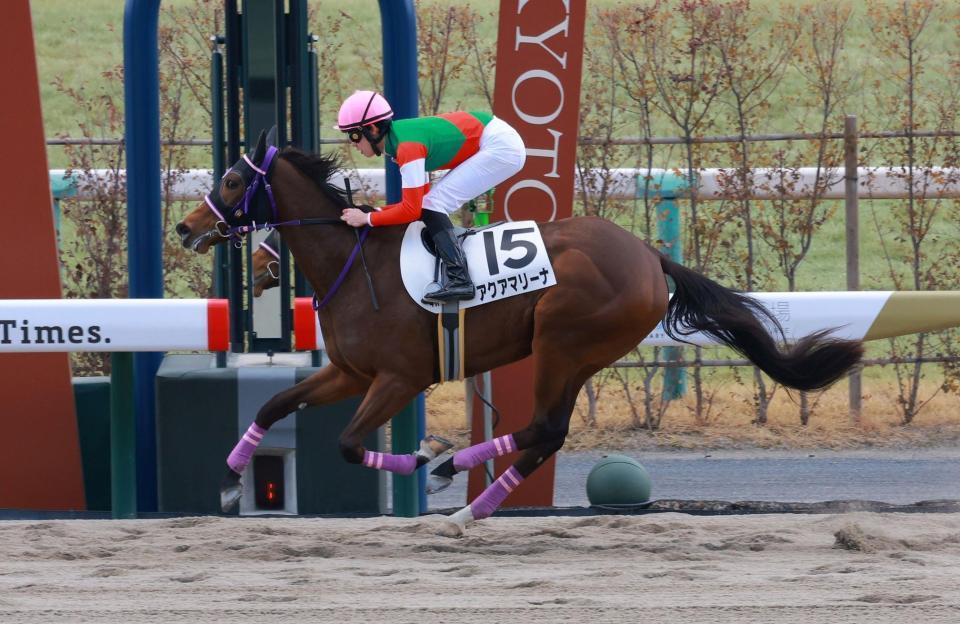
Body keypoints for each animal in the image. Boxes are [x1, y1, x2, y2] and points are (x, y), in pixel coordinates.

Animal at [176, 130, 864, 530]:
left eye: (232, 180)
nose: (185, 228)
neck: (354, 263)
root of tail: (650, 257)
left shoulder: (399, 378)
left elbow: (346, 444)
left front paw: (423, 453)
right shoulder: (349, 372)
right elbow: (273, 404)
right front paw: (230, 484)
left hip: (562, 342)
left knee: (543, 428)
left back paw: (454, 474)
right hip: (577, 354)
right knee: (547, 435)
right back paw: (472, 506)